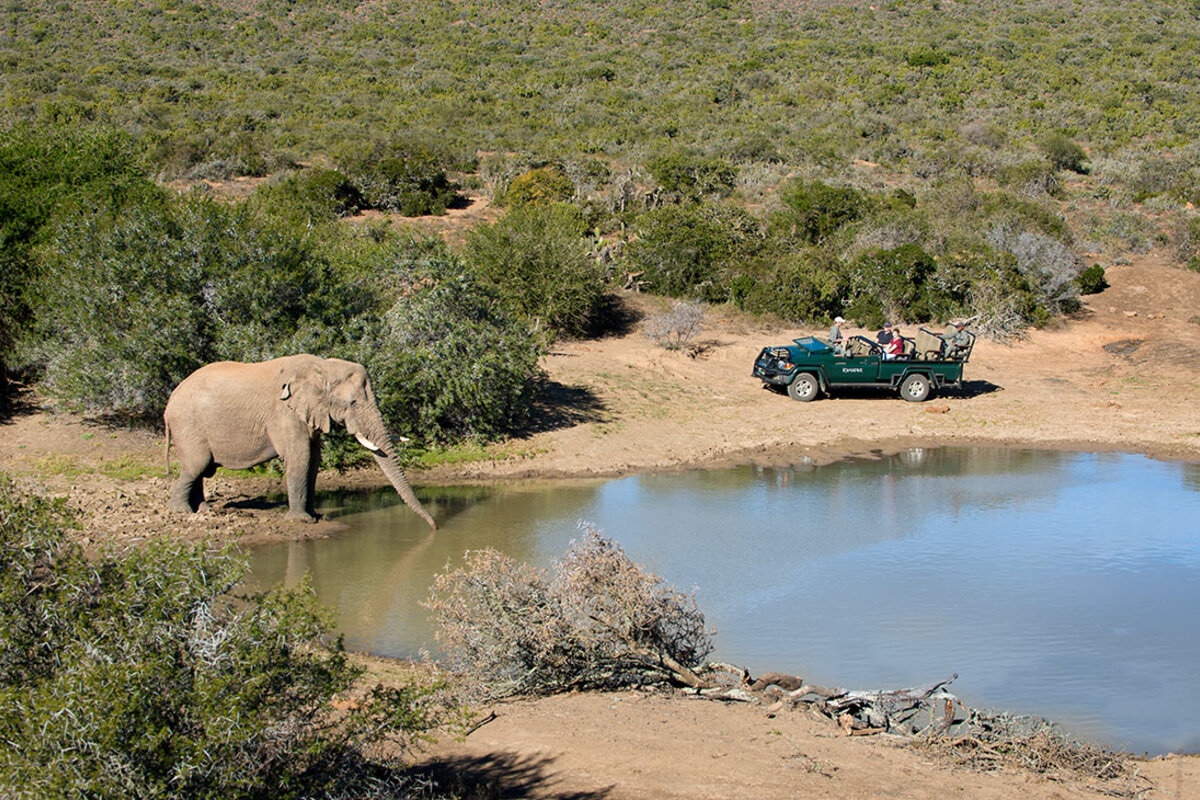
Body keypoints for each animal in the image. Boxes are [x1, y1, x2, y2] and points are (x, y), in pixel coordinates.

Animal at [164, 354, 436, 529]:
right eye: (353, 403)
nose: (434, 527)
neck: (322, 367)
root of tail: (169, 403)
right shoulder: (284, 412)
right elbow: (300, 457)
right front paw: (301, 521)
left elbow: (314, 460)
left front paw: (315, 516)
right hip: (187, 425)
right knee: (196, 466)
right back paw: (182, 512)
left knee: (199, 470)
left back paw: (204, 510)